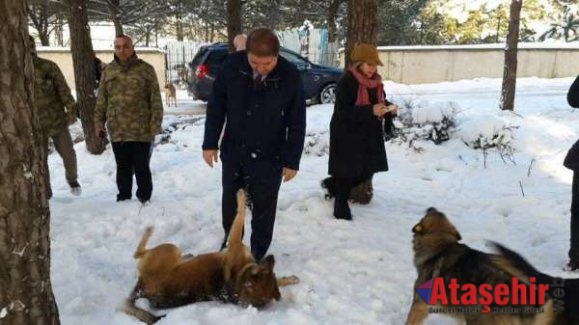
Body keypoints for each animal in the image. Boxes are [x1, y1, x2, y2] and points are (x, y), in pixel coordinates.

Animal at [122, 189, 300, 322]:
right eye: (268, 271)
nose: (271, 257)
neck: (239, 280)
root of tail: (141, 289)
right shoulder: (236, 245)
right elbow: (240, 215)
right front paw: (290, 279)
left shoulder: (234, 242)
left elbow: (240, 213)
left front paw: (241, 196)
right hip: (170, 250)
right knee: (140, 252)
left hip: (170, 249)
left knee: (138, 252)